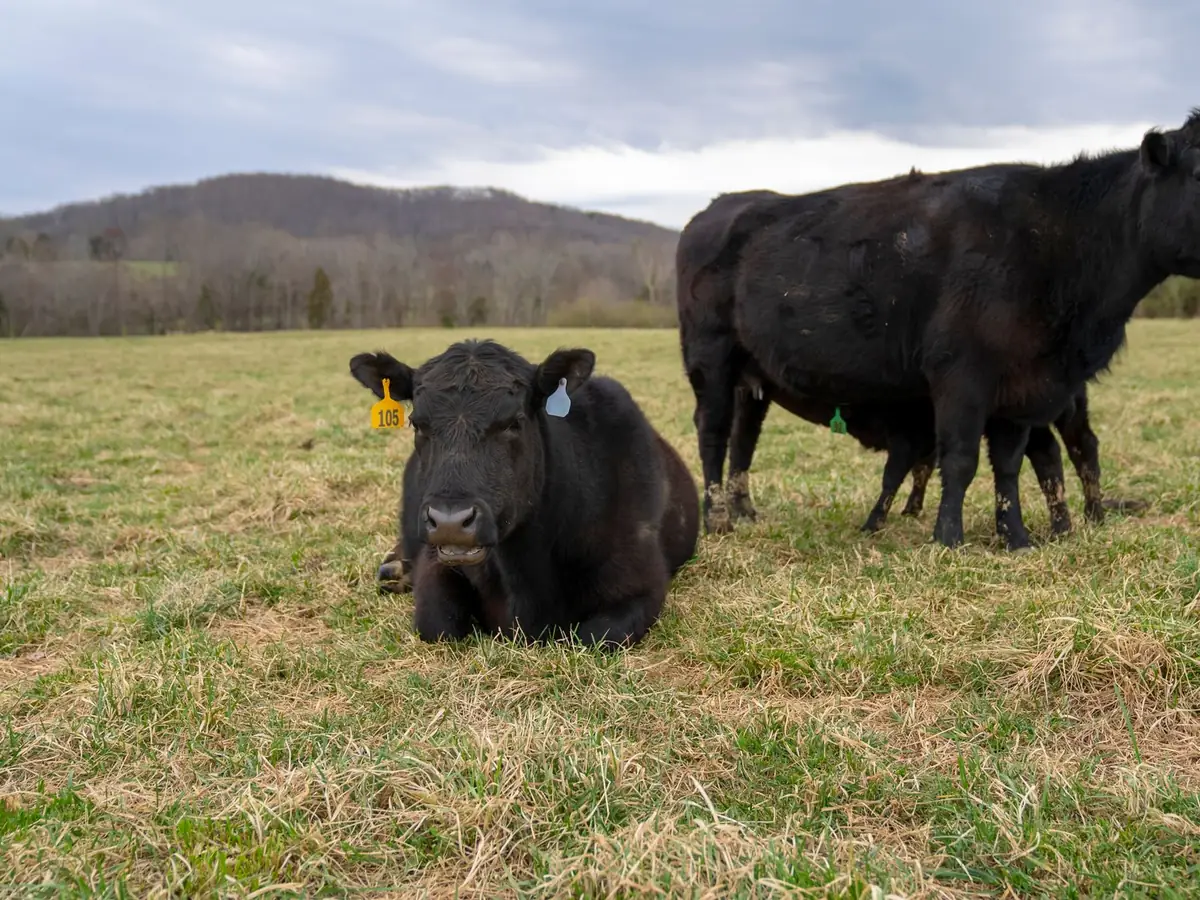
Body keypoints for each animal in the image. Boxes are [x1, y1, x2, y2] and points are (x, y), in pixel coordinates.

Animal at [349, 339, 700, 649]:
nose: (450, 522)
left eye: (513, 422)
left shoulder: (642, 585)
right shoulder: (437, 564)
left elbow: (593, 638)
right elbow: (438, 625)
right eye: (417, 423)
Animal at [679, 111, 1199, 550]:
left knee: (744, 438)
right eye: (1197, 174)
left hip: (754, 375)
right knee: (713, 432)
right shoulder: (961, 375)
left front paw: (1016, 537)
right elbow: (961, 458)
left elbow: (1008, 464)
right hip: (710, 358)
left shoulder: (1021, 388)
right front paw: (948, 537)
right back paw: (717, 519)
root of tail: (719, 206)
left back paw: (745, 512)